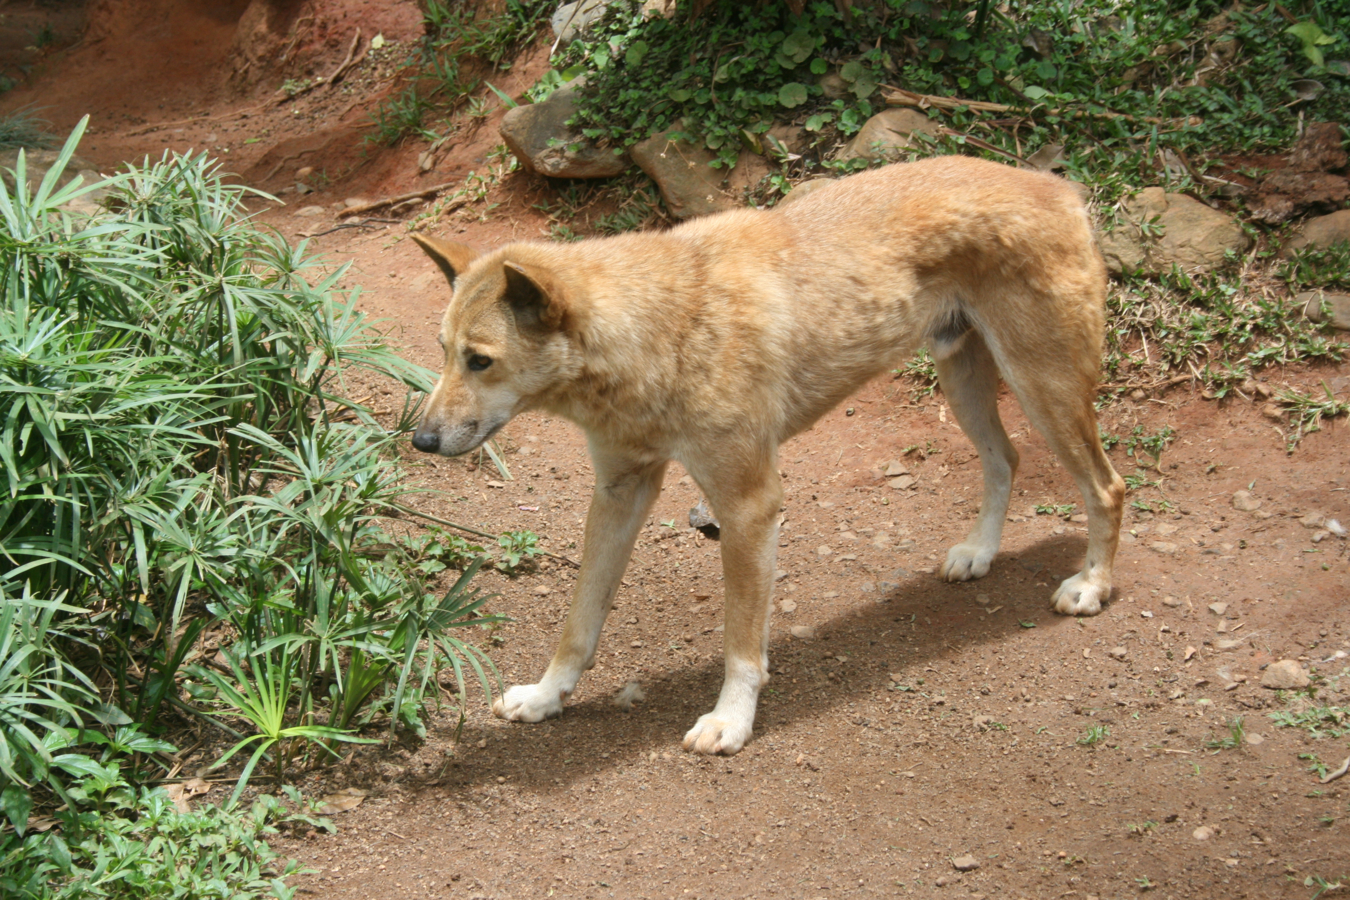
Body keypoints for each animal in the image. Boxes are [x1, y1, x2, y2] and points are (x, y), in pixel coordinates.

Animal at [410, 158, 1128, 755]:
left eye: (481, 360)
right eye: (443, 352)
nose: (420, 440)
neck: (661, 329)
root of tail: (1059, 186)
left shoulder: (749, 506)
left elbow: (740, 645)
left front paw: (731, 721)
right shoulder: (619, 490)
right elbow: (579, 623)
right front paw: (545, 696)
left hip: (1045, 388)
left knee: (1108, 487)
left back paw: (1092, 585)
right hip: (966, 378)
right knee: (1005, 459)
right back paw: (980, 551)